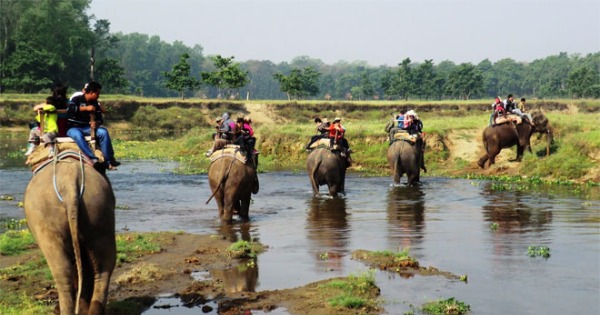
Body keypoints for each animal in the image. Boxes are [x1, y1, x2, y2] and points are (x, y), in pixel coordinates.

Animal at [23, 159, 115, 314]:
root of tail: (70, 183)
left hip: (45, 218)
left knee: (61, 269)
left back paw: (62, 310)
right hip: (99, 207)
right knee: (103, 265)